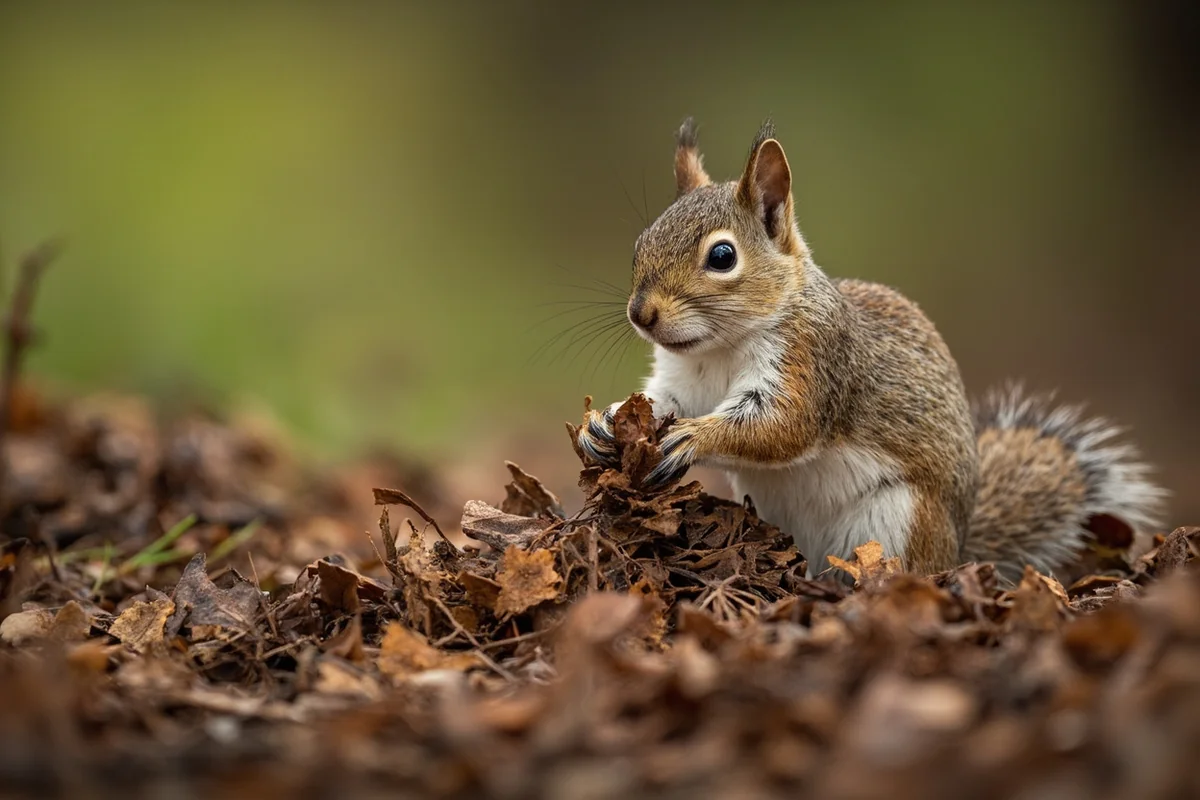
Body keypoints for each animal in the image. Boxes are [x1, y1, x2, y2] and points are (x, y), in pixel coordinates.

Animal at [575, 117, 1166, 582]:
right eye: (641, 242)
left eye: (722, 256)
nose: (641, 313)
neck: (719, 348)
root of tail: (956, 551)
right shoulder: (680, 380)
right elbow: (660, 403)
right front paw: (602, 423)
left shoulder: (813, 361)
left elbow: (781, 426)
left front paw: (694, 438)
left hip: (897, 522)